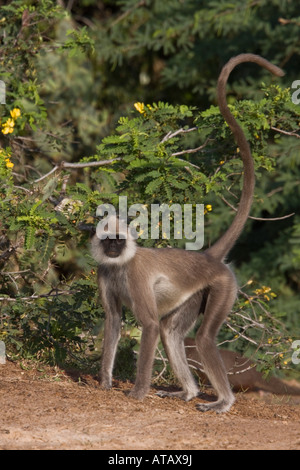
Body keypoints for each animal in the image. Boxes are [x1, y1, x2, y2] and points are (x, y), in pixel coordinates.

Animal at [91, 54, 284, 412]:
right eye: (107, 241)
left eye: (119, 241)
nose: (112, 250)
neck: (121, 264)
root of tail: (207, 257)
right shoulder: (103, 272)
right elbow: (113, 320)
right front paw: (105, 381)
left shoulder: (136, 274)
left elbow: (150, 325)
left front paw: (138, 391)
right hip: (197, 292)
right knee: (172, 332)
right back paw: (189, 392)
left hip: (223, 285)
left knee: (201, 337)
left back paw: (223, 401)